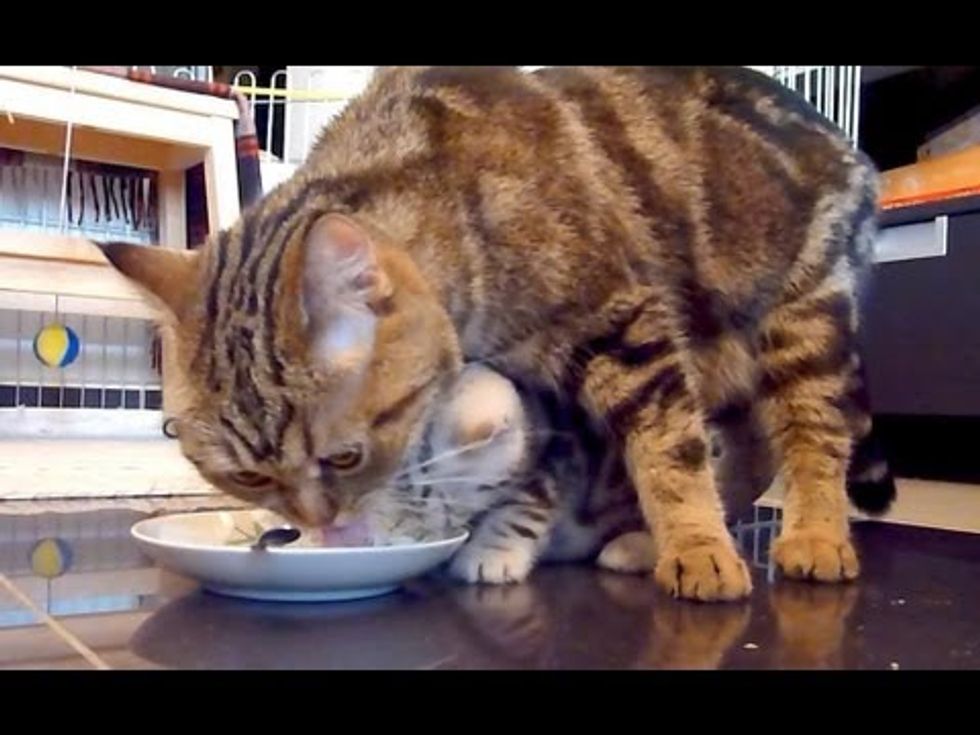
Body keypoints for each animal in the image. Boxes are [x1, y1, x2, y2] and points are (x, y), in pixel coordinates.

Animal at [101, 64, 896, 604]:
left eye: (344, 456)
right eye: (248, 477)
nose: (316, 523)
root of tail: (849, 143)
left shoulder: (625, 325)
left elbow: (668, 453)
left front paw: (696, 546)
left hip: (801, 316)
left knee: (813, 437)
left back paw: (810, 536)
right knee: (749, 448)